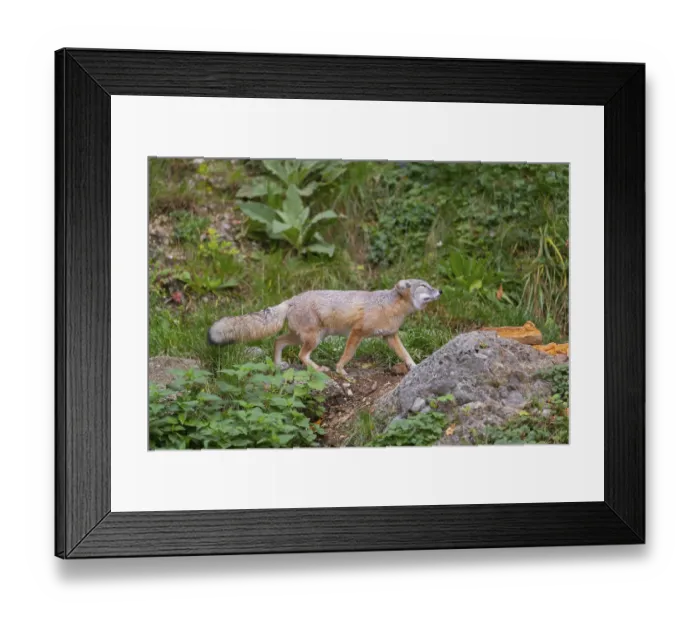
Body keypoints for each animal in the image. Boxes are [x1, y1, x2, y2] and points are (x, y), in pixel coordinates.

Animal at [207, 279, 442, 378]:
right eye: (424, 286)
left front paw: (415, 366)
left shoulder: (390, 336)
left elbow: (406, 354)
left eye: (431, 284)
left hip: (303, 337)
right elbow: (348, 354)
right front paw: (340, 370)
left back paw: (278, 364)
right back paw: (319, 369)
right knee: (301, 355)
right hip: (315, 339)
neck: (390, 306)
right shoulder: (357, 332)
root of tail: (290, 300)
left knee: (278, 341)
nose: (440, 291)